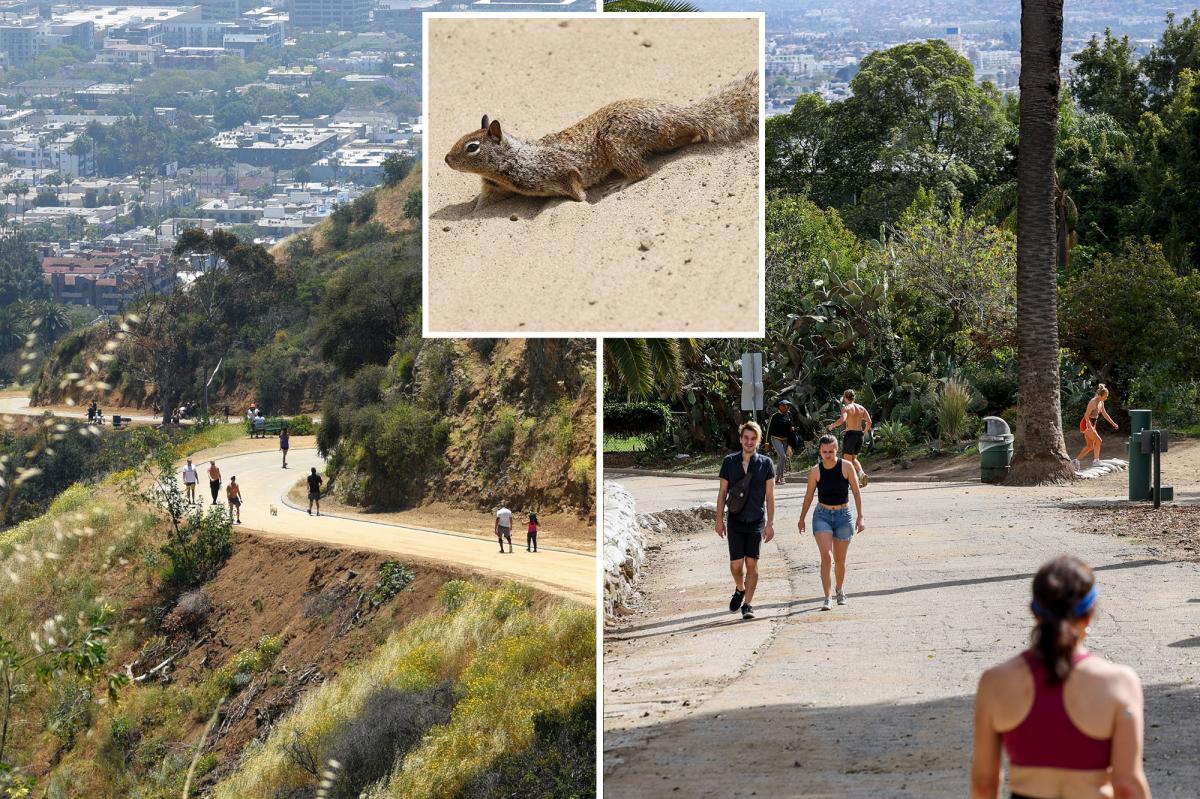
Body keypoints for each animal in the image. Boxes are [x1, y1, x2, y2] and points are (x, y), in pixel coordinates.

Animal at [443, 71, 759, 211]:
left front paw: (583, 202)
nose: (446, 159)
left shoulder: (560, 171)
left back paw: (623, 181)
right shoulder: (497, 187)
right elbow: (486, 200)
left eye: (472, 147)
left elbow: (575, 188)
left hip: (616, 140)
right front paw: (473, 209)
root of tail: (673, 112)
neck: (512, 160)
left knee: (641, 172)